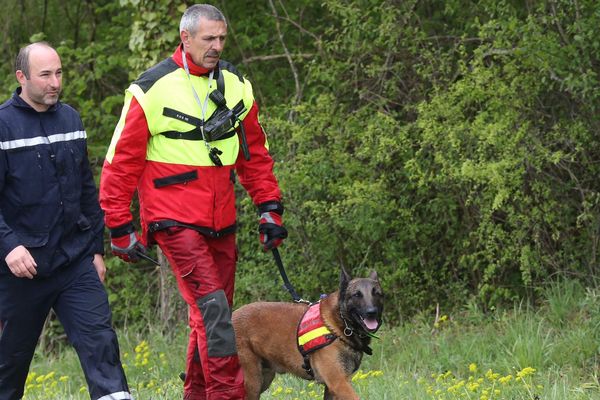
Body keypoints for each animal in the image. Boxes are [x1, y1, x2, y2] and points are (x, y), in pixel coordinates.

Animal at [232, 268, 382, 398]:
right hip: (252, 383)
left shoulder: (332, 387)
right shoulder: (339, 383)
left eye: (377, 294)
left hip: (264, 379)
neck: (338, 324)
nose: (372, 312)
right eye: (357, 295)